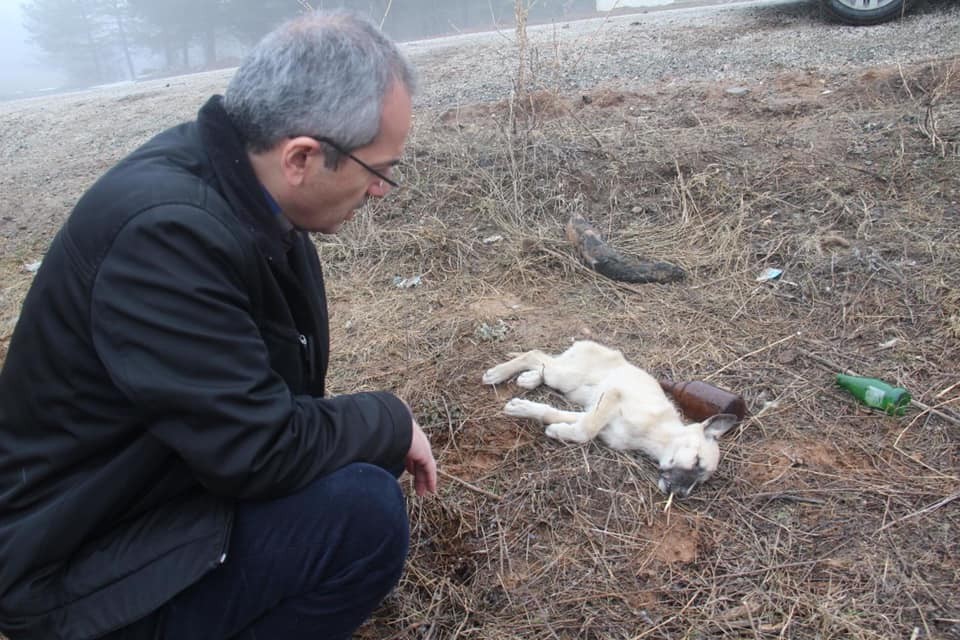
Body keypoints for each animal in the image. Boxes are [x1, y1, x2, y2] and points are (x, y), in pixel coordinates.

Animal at [484, 340, 740, 496]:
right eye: (696, 462)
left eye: (701, 481)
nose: (680, 495)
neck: (657, 433)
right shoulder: (612, 396)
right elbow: (586, 431)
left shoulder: (595, 414)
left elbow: (560, 417)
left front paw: (540, 418)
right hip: (567, 377)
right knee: (535, 355)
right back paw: (498, 373)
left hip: (566, 380)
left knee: (543, 366)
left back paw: (529, 379)